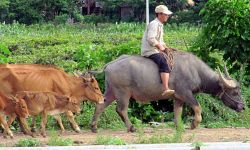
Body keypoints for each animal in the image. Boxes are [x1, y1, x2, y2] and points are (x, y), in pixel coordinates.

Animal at [91, 51, 245, 132]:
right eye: (235, 92)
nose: (243, 107)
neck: (195, 70)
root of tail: (110, 65)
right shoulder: (185, 93)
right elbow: (197, 107)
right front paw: (194, 124)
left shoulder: (178, 97)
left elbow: (177, 112)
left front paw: (179, 126)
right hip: (123, 93)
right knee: (121, 110)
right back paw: (131, 128)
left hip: (111, 91)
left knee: (100, 105)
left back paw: (94, 127)